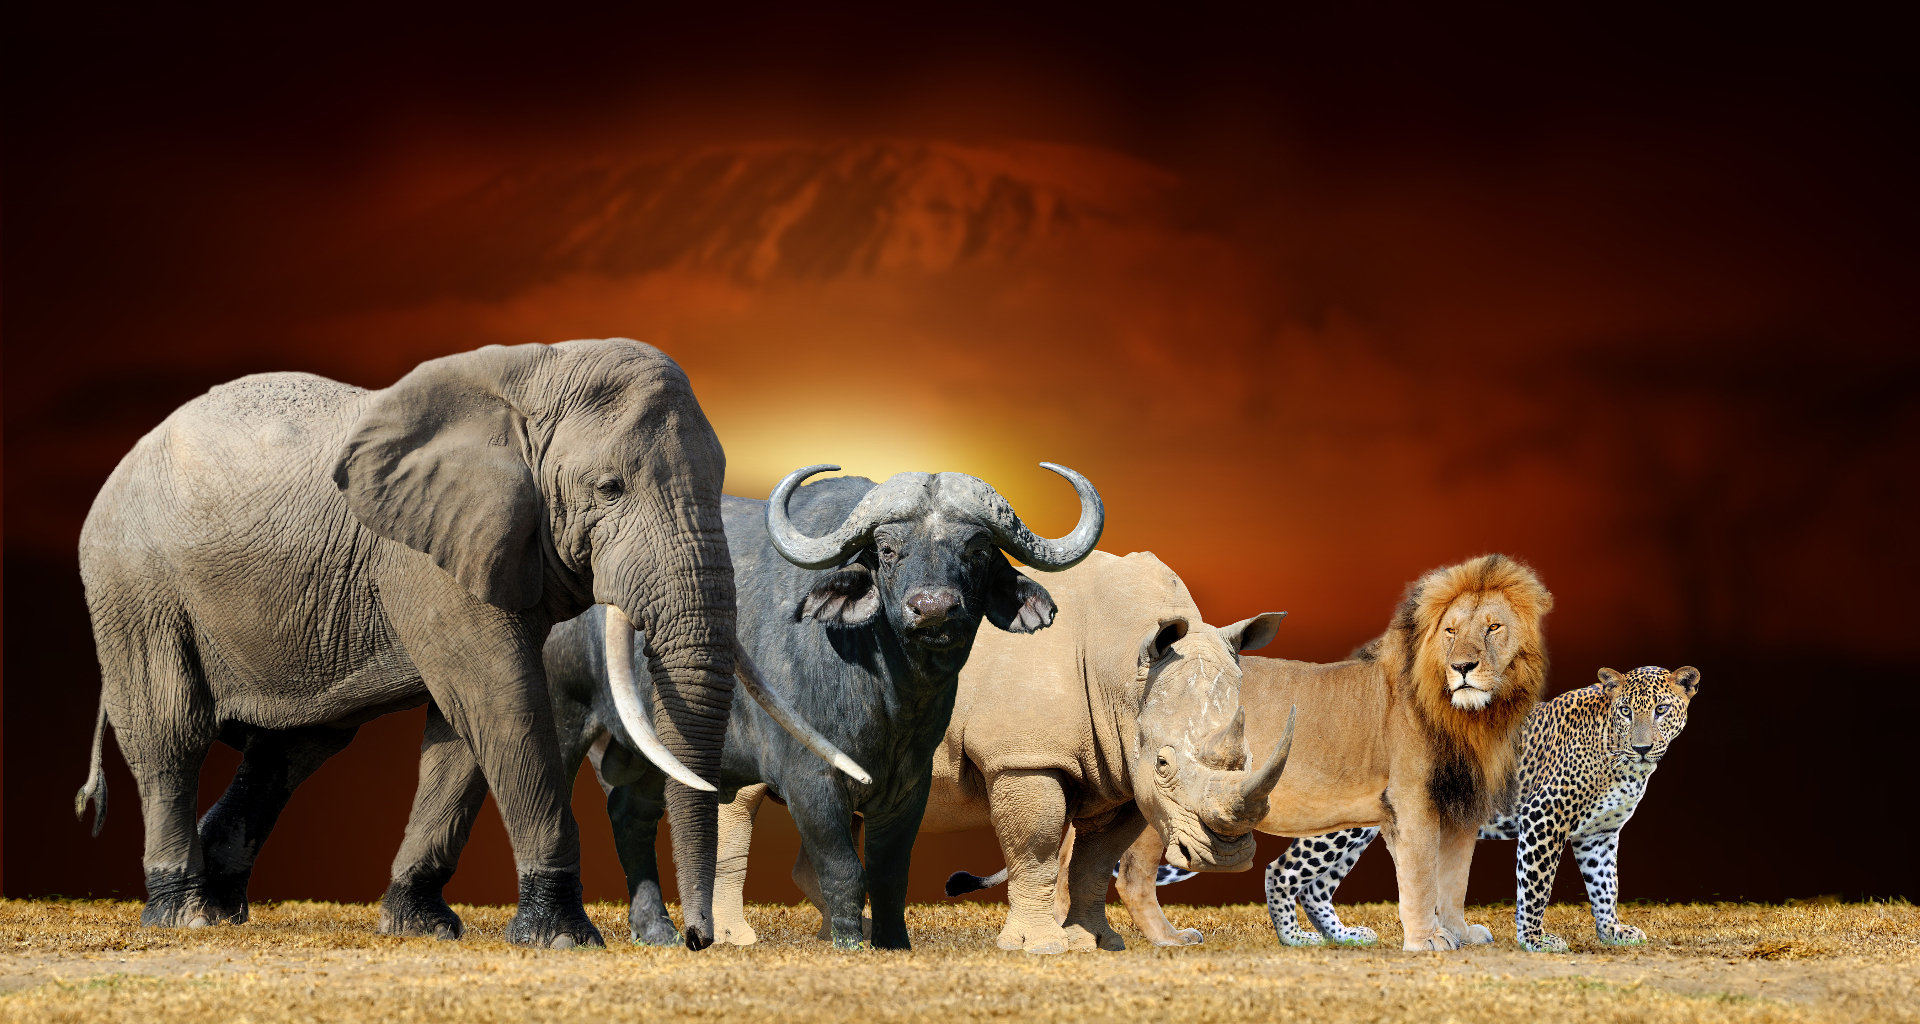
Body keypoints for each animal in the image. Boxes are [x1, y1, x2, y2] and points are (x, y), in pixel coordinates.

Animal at [71, 338, 813, 949]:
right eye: (610, 488)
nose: (696, 941)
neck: (535, 375)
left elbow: (462, 732)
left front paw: (419, 925)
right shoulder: (428, 556)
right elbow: (502, 702)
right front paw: (561, 936)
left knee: (294, 747)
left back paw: (221, 905)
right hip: (133, 585)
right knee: (171, 734)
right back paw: (184, 912)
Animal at [1112, 553, 1553, 951]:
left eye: (1493, 627)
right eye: (1450, 630)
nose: (1463, 667)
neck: (1474, 717)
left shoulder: (1461, 805)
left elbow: (1454, 880)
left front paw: (1459, 932)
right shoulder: (1412, 801)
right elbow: (1422, 877)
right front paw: (1426, 939)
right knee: (1132, 874)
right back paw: (1167, 938)